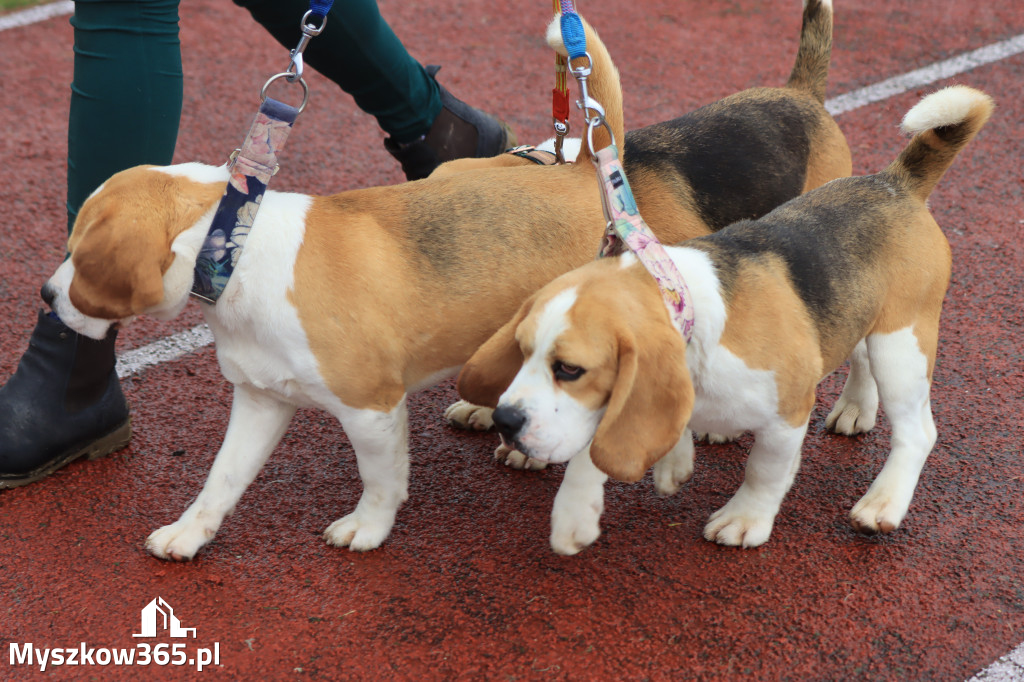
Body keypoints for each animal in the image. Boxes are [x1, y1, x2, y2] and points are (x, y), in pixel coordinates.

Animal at [41, 2, 847, 557]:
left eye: (80, 253)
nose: (45, 296)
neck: (237, 242)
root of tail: (583, 165)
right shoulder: (262, 399)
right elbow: (221, 478)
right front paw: (190, 533)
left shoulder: (370, 408)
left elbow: (380, 481)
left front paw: (366, 529)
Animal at [462, 84, 991, 552]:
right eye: (523, 352)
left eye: (570, 370)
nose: (505, 419)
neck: (687, 311)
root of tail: (895, 182)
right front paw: (579, 512)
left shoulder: (787, 412)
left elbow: (764, 471)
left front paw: (745, 519)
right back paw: (856, 408)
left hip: (901, 344)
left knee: (917, 432)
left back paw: (883, 502)